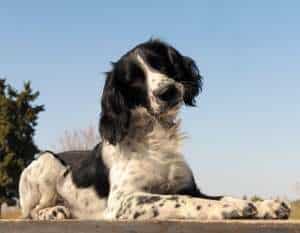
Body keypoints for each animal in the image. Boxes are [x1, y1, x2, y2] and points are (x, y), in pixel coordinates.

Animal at [18, 38, 290, 220]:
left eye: (160, 64)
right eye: (133, 80)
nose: (167, 91)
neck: (155, 136)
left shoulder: (188, 186)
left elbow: (212, 195)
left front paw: (264, 205)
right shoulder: (123, 200)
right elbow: (179, 200)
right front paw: (228, 208)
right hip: (47, 162)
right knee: (31, 212)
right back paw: (54, 211)